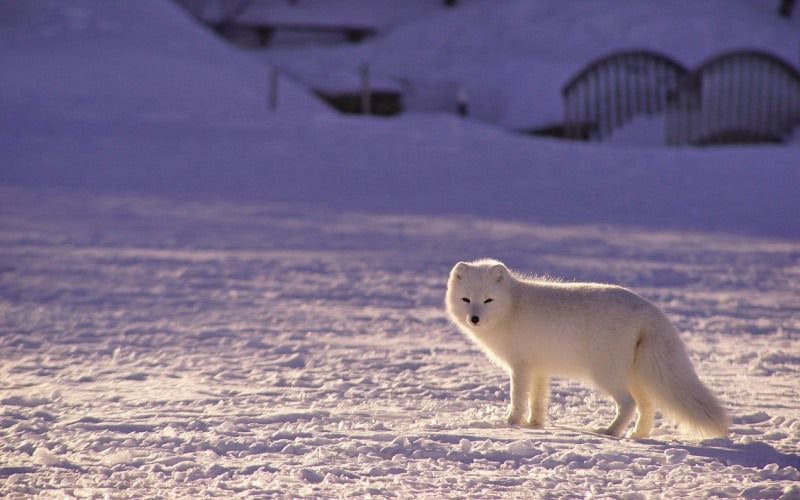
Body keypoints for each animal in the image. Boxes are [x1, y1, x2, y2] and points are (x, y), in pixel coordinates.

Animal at [446, 258, 728, 438]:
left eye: (488, 300)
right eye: (466, 299)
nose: (474, 318)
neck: (513, 307)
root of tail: (650, 310)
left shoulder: (521, 366)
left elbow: (518, 398)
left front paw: (511, 423)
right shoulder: (539, 368)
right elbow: (538, 399)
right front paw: (535, 425)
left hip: (605, 373)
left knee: (628, 404)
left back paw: (611, 431)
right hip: (635, 375)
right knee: (647, 406)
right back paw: (637, 435)